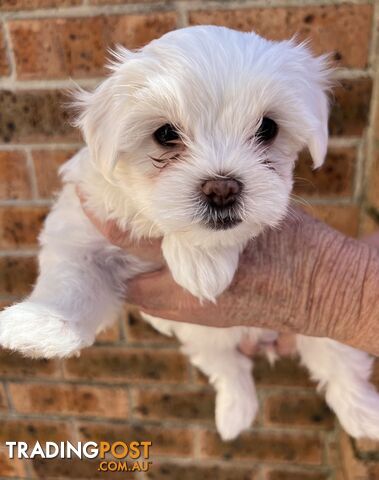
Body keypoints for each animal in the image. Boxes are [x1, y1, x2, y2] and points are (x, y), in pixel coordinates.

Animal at [0, 25, 379, 438]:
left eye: (268, 128)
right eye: (166, 133)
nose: (222, 189)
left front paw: (202, 261)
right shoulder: (84, 225)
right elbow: (73, 279)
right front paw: (41, 324)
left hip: (322, 327)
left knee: (340, 363)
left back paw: (364, 415)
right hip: (203, 337)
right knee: (229, 368)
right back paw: (235, 412)